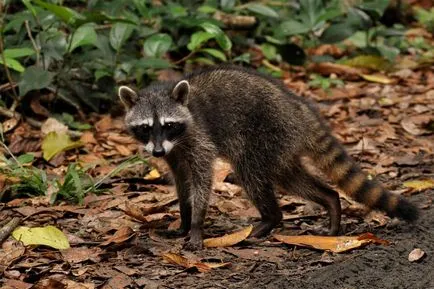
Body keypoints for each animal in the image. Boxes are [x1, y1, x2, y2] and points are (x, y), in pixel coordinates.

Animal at [117, 65, 418, 250]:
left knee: (251, 174)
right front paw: (183, 218)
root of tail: (298, 107)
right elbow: (181, 182)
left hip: (266, 133)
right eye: (145, 128)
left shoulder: (198, 137)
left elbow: (202, 180)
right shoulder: (174, 152)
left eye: (168, 125)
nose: (157, 152)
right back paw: (331, 201)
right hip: (281, 146)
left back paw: (270, 219)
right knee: (290, 177)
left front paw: (196, 224)